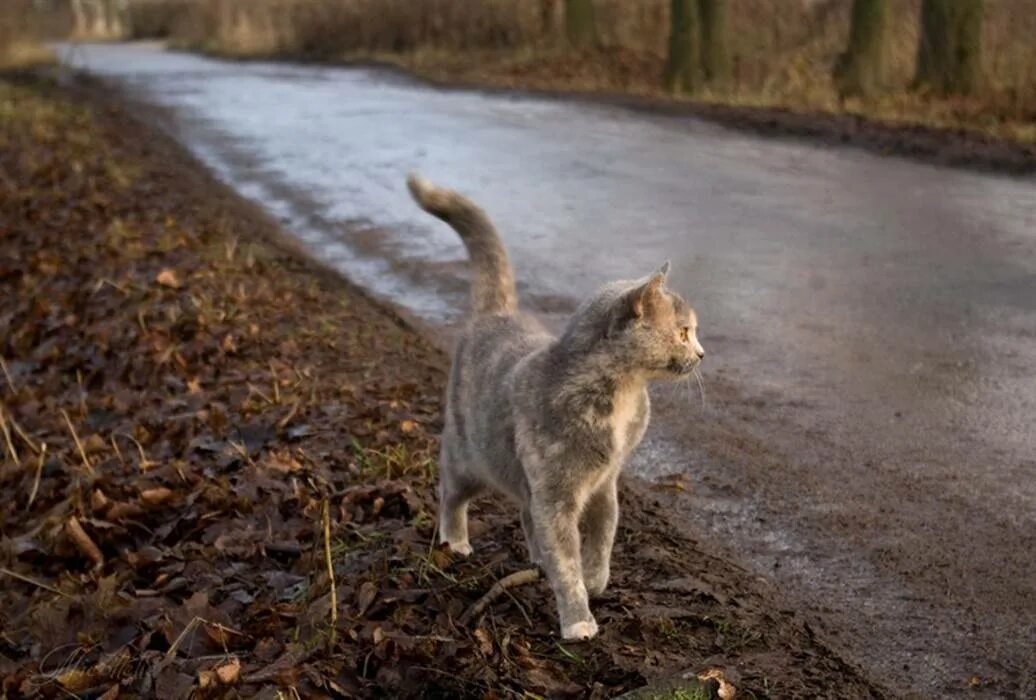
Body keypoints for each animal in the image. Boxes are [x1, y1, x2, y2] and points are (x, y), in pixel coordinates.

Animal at [404, 173, 704, 637]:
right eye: (685, 332)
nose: (703, 353)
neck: (623, 395)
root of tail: (497, 314)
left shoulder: (605, 483)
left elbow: (604, 533)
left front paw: (596, 579)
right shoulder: (556, 492)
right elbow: (566, 562)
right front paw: (579, 620)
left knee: (526, 515)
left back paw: (534, 556)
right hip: (469, 454)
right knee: (452, 491)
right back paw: (456, 541)